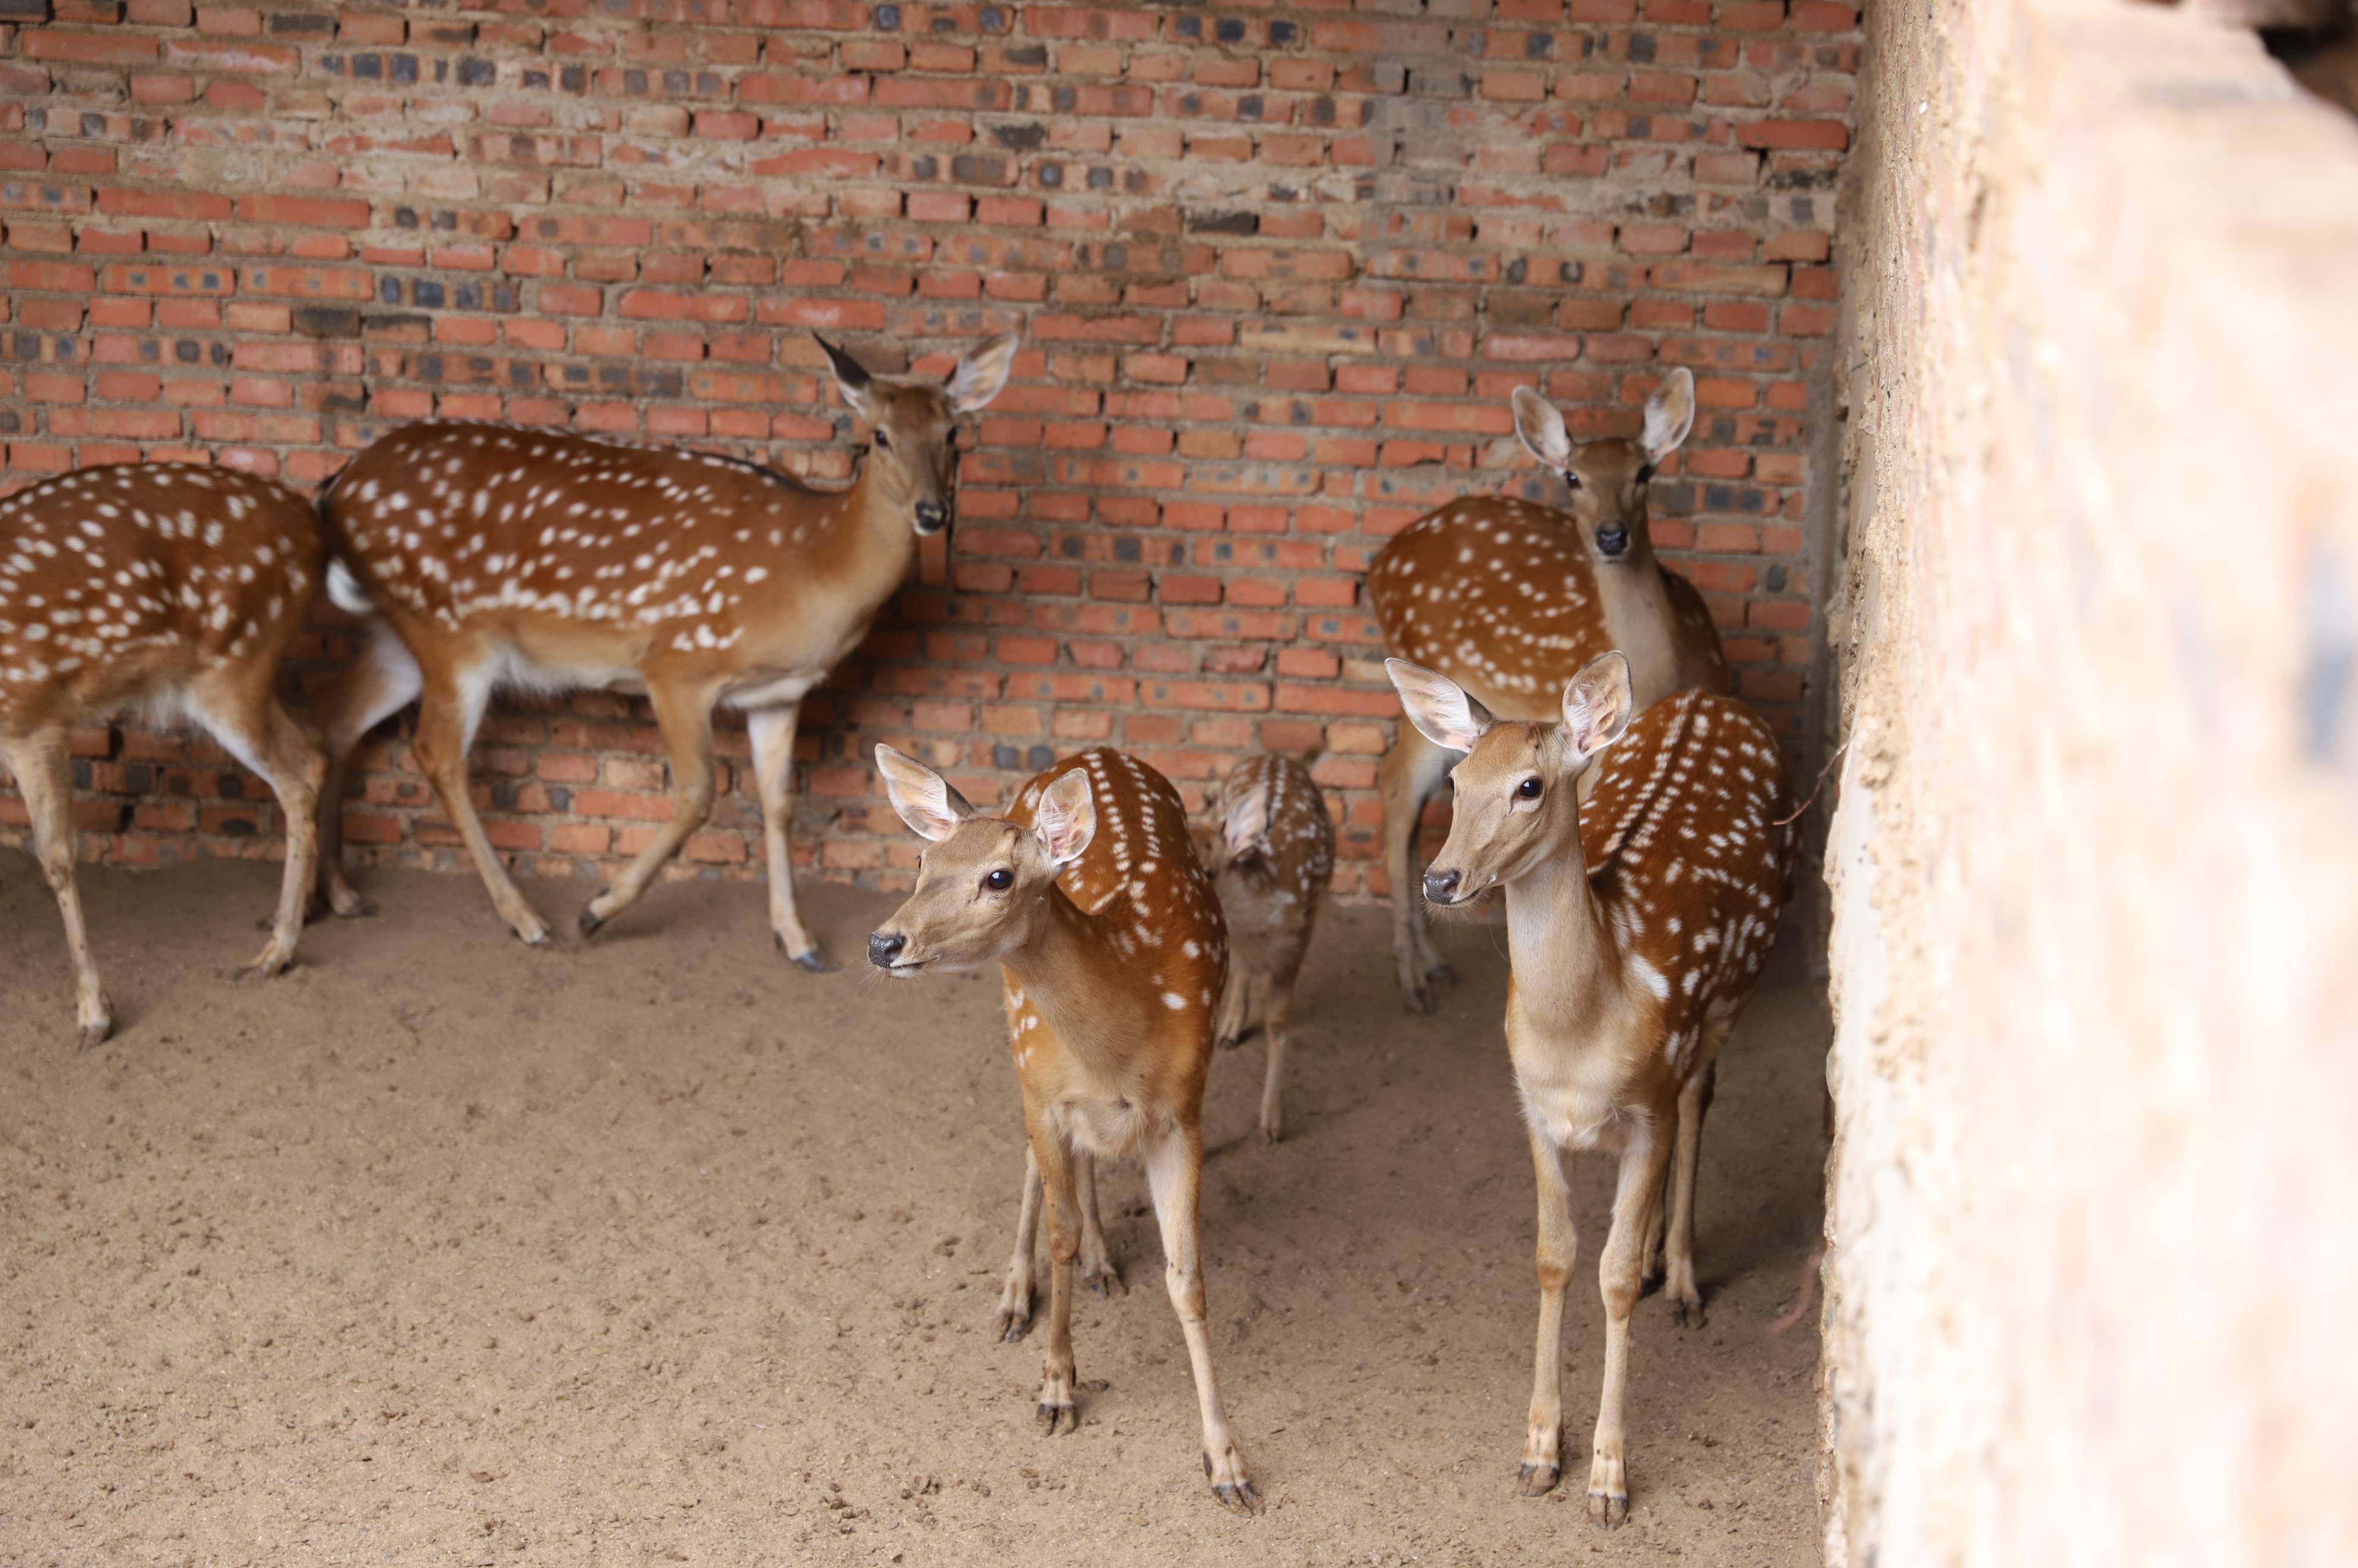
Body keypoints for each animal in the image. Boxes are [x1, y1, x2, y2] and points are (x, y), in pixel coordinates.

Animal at [308, 330, 1018, 962]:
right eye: (879, 435)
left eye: (952, 433)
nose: (932, 512)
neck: (808, 565)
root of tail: (336, 488)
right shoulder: (677, 663)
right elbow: (699, 792)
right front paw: (597, 909)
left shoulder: (777, 694)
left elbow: (780, 802)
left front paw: (797, 940)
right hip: (450, 628)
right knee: (435, 753)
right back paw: (527, 919)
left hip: (398, 629)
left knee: (338, 722)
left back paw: (342, 895)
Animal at [867, 745, 1264, 1518]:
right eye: (923, 862)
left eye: (999, 877)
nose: (883, 941)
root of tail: (1091, 753)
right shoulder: (1045, 1093)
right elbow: (1059, 1233)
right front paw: (1055, 1388)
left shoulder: (1182, 1110)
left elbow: (1187, 1279)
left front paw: (1227, 1463)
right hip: (1020, 1043)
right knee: (1038, 1167)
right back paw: (1017, 1295)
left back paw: (1104, 1262)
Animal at [1198, 750, 1330, 1136]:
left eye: (1209, 871)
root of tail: (1276, 754)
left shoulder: (1298, 940)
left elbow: (1278, 1023)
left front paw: (1272, 1121)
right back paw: (1230, 1028)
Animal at [1377, 646, 1782, 1528]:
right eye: (1456, 779)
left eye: (1529, 786)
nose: (1441, 879)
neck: (1582, 1033)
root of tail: (1708, 700)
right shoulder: (1532, 1109)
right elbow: (1555, 1257)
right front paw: (1537, 1454)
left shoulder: (1648, 1107)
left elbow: (1615, 1276)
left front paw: (1608, 1479)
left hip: (1727, 1003)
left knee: (1701, 1101)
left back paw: (1684, 1279)